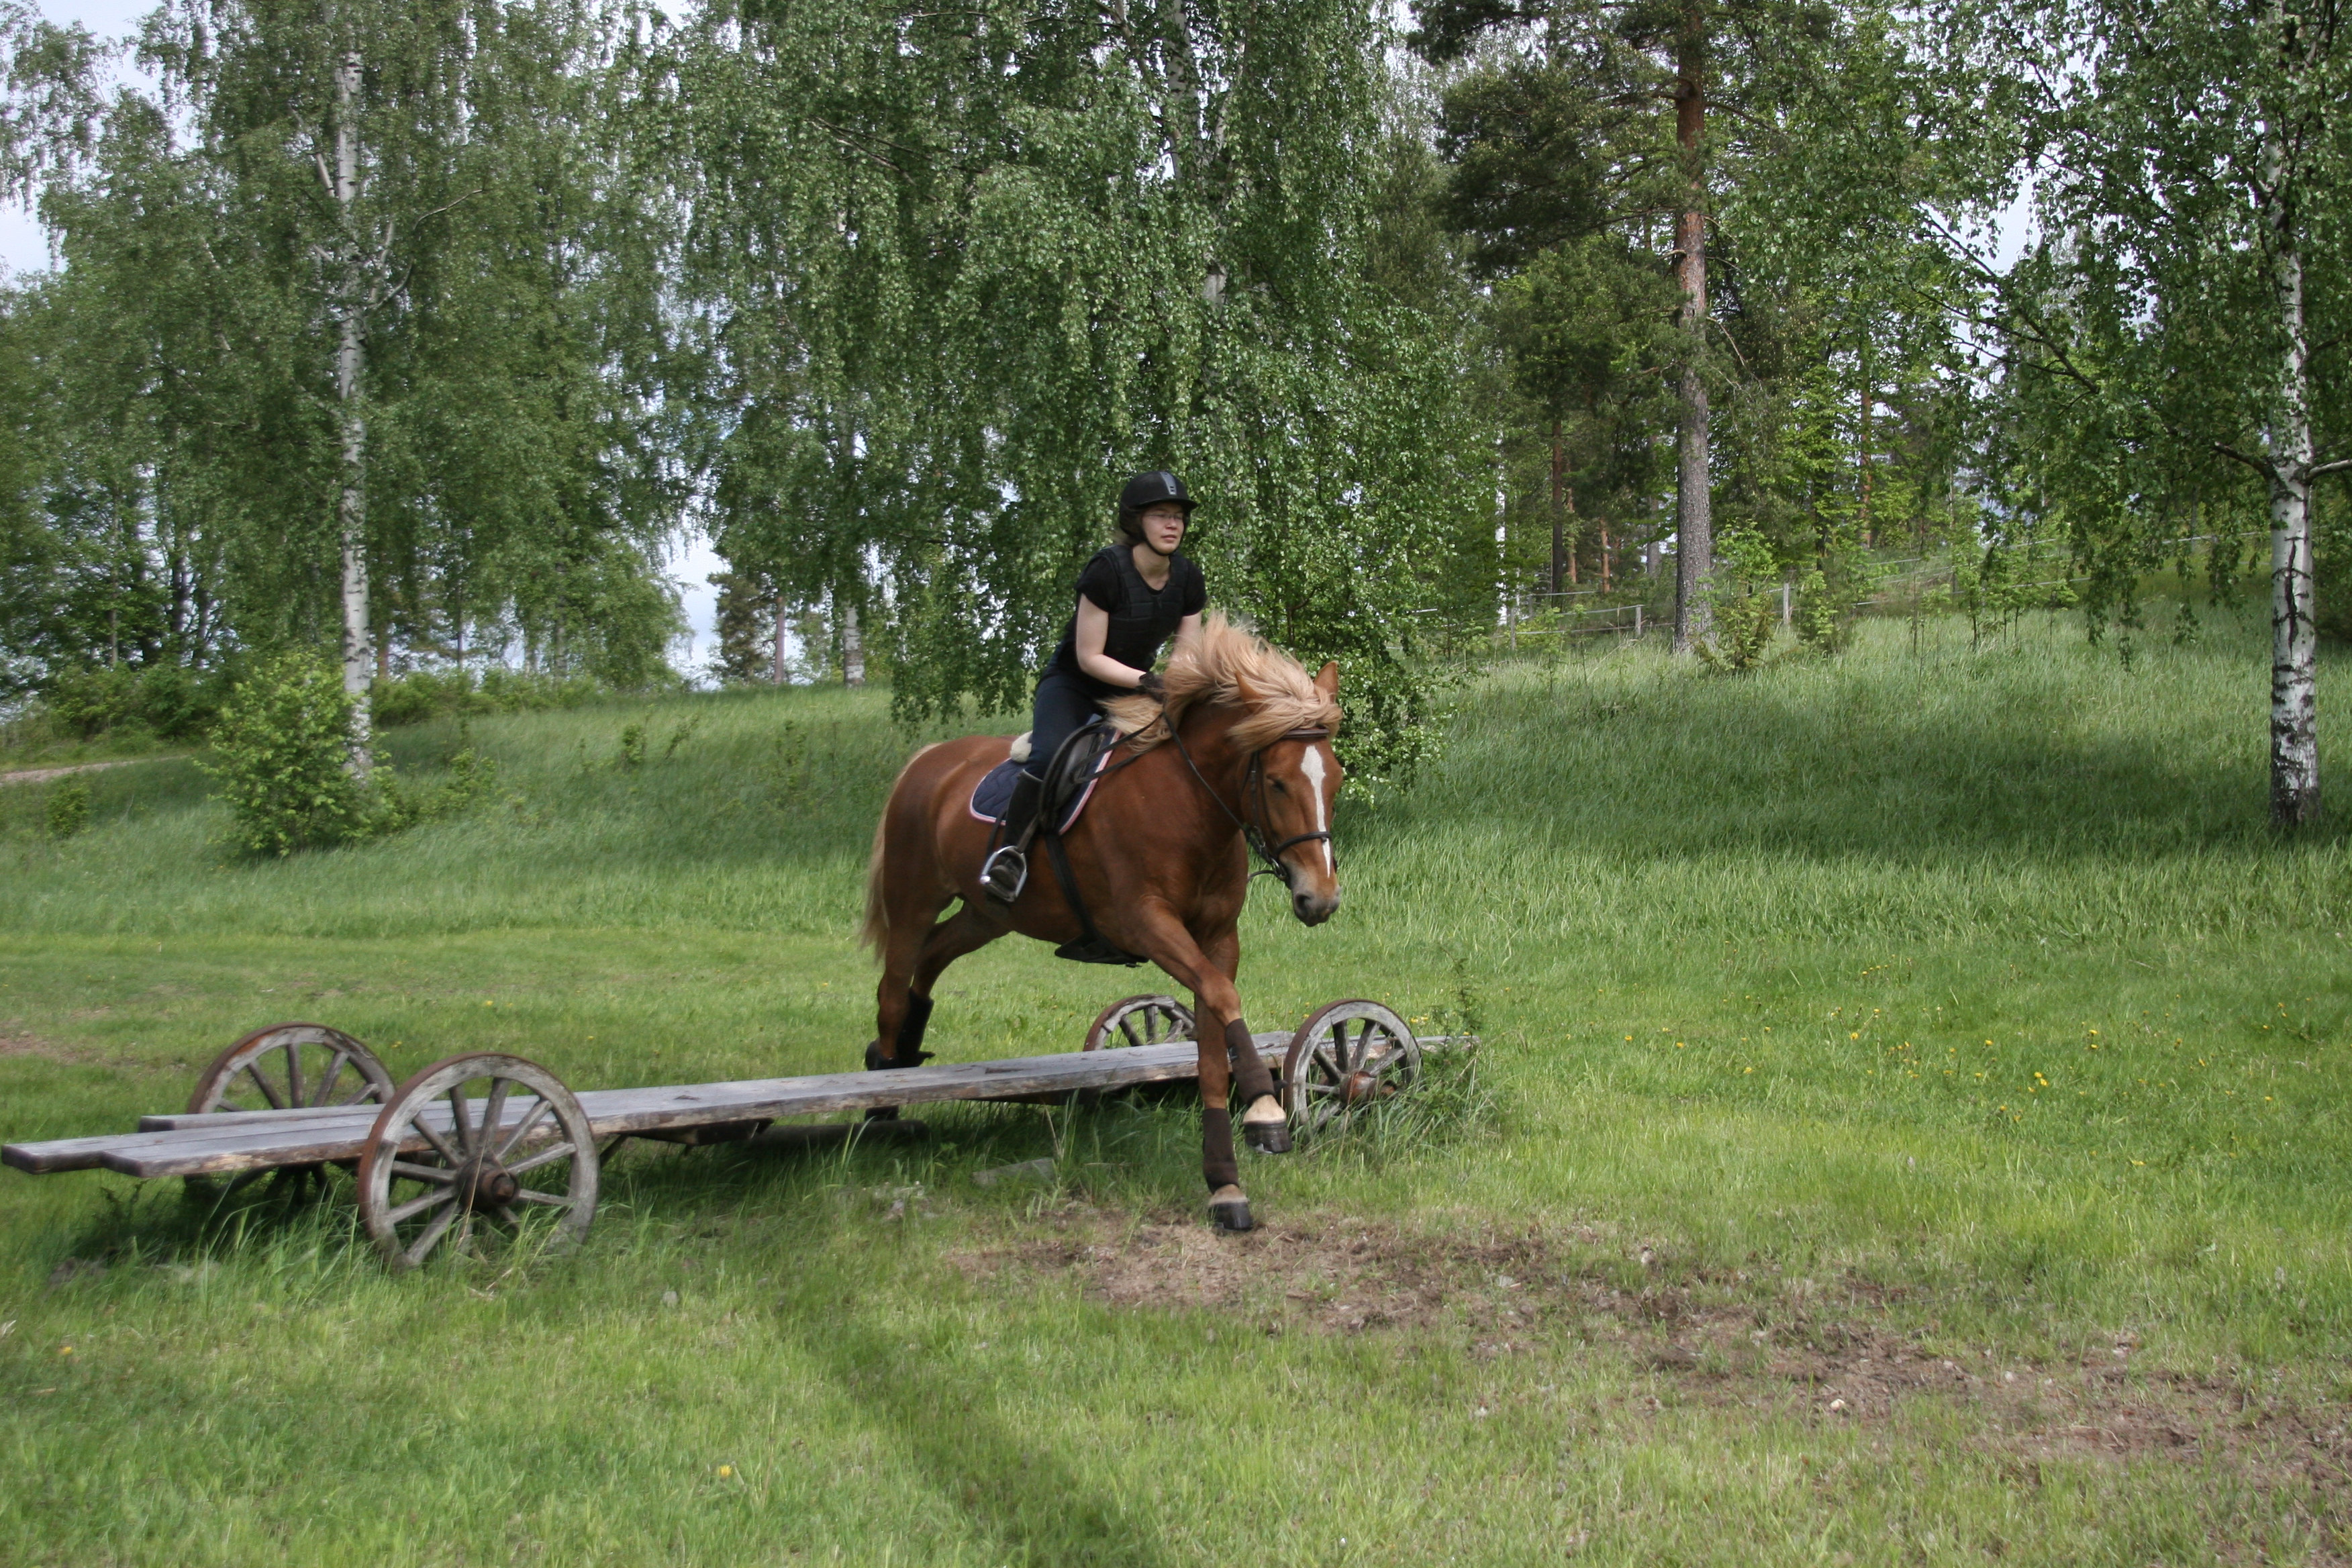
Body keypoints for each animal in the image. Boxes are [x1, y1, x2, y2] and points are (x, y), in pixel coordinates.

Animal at [860, 613, 1345, 1231]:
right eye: (1278, 782)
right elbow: (1224, 998)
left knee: (930, 963)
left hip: (986, 915)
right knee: (893, 988)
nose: (1319, 899)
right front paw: (1264, 1106)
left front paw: (1225, 1186)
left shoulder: (1216, 939)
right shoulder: (1146, 924)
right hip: (913, 899)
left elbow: (1214, 1044)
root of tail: (927, 761)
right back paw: (882, 1102)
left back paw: (900, 1058)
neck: (1190, 805)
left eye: (1335, 779)